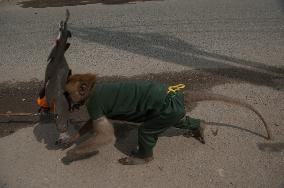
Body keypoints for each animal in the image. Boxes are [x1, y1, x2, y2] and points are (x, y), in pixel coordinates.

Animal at [58, 73, 272, 164]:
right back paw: (199, 126)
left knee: (146, 131)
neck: (91, 90)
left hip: (166, 112)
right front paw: (70, 139)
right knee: (180, 121)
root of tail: (179, 96)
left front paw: (73, 152)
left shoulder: (95, 103)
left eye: (68, 94)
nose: (66, 102)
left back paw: (144, 159)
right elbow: (91, 126)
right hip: (173, 112)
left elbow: (106, 136)